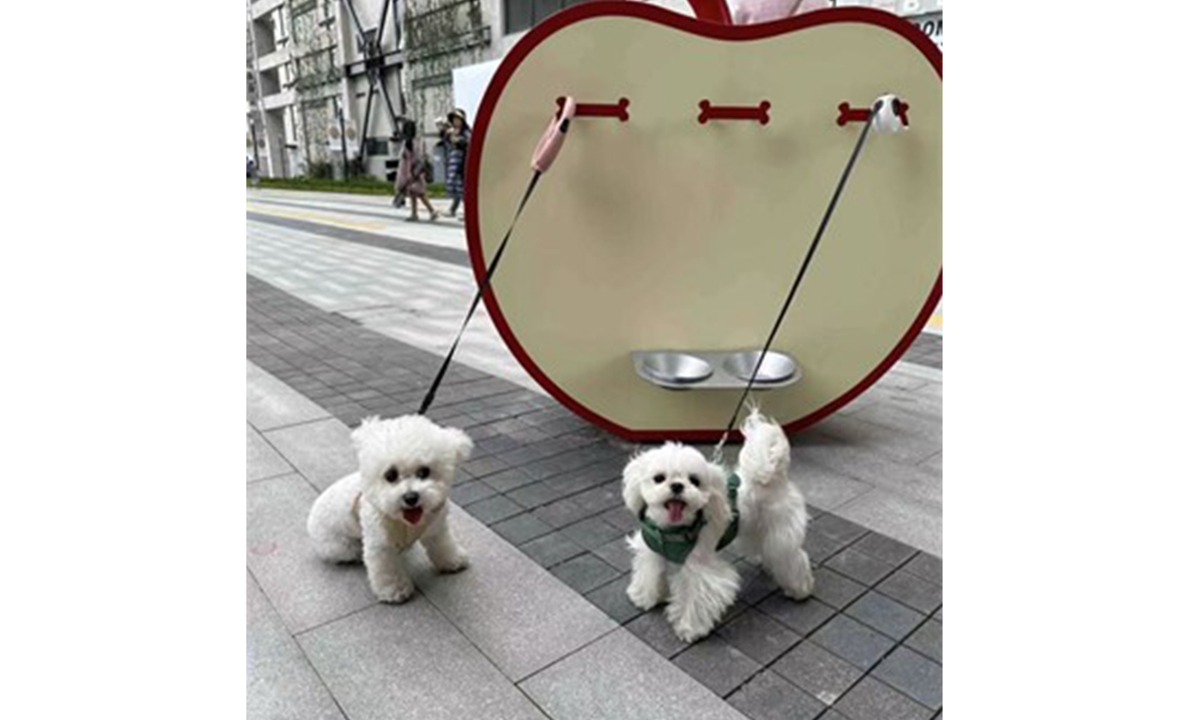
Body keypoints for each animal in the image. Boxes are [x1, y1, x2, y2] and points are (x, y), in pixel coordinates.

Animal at [304, 412, 472, 604]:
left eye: (424, 472)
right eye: (390, 475)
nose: (411, 497)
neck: (405, 522)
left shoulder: (435, 528)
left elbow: (443, 545)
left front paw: (453, 561)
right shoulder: (380, 544)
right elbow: (387, 570)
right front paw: (395, 590)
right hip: (340, 546)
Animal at [619, 410, 816, 643]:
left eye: (694, 481)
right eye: (659, 478)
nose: (677, 486)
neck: (671, 530)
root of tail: (773, 478)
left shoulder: (700, 567)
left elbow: (697, 596)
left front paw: (690, 628)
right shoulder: (652, 551)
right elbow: (649, 573)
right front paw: (644, 596)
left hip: (780, 532)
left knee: (793, 557)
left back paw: (800, 589)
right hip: (757, 529)